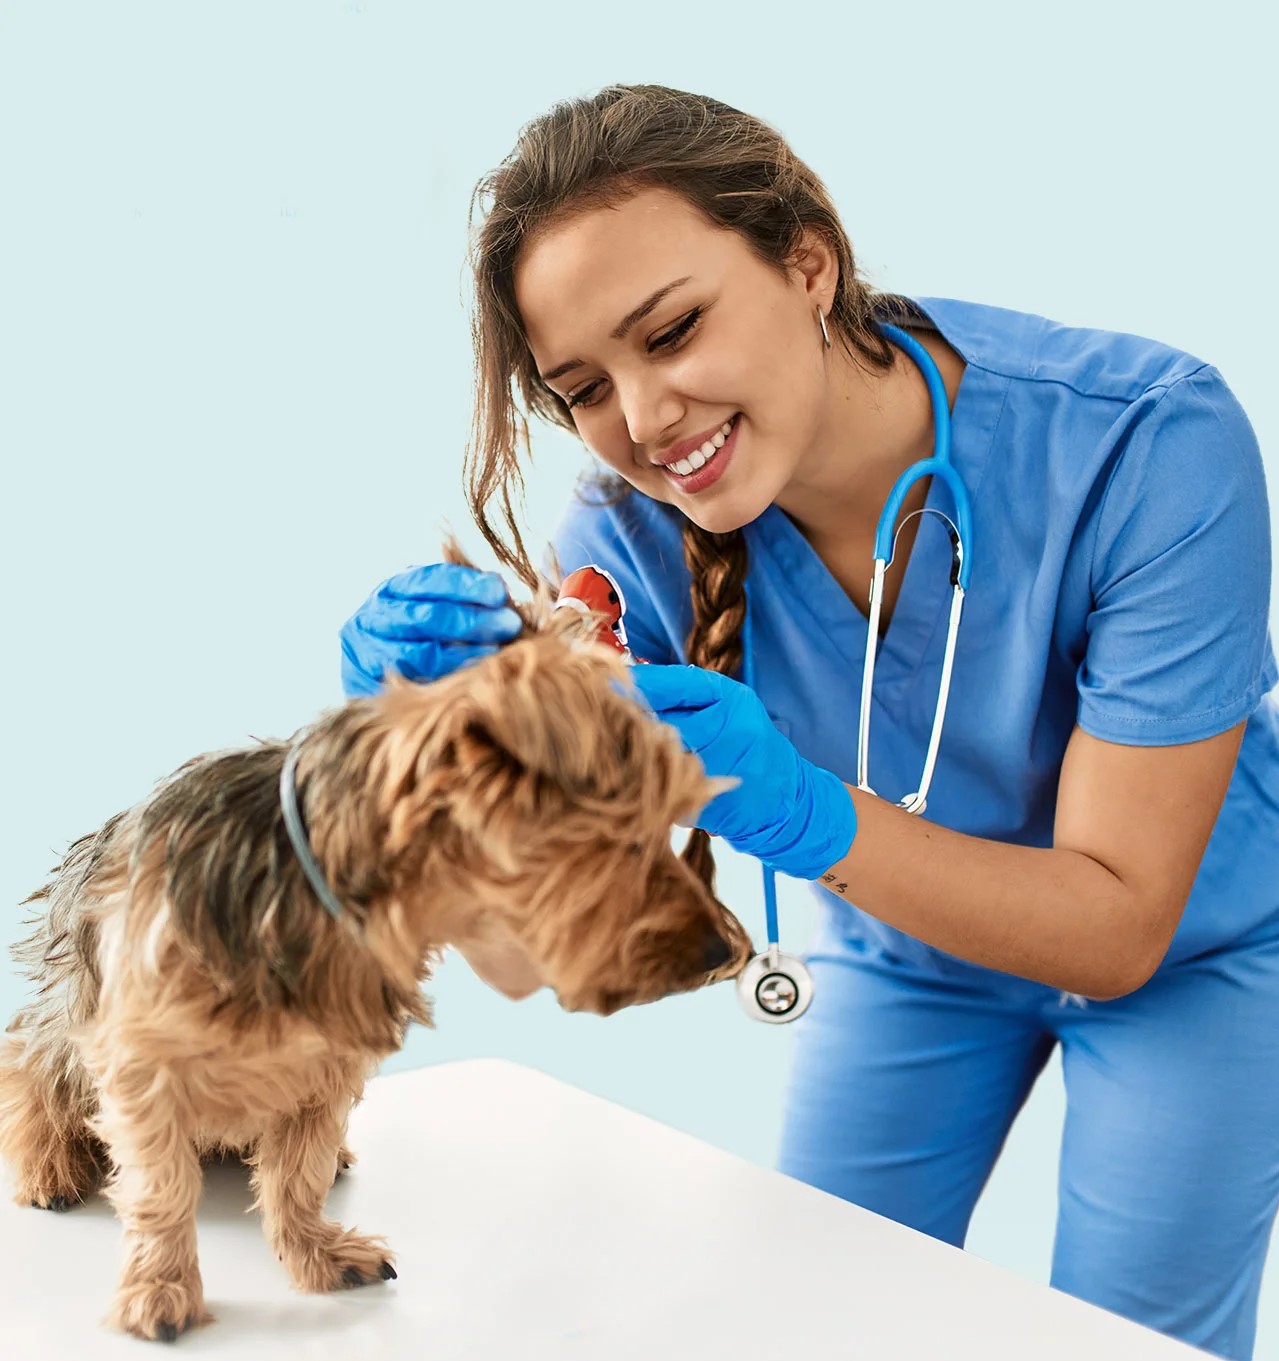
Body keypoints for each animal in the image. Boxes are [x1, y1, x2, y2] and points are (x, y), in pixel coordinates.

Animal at [0, 571, 756, 1339]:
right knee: (29, 1062)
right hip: (66, 1016)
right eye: (627, 838)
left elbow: (295, 1174)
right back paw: (47, 1162)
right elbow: (161, 1186)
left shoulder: (328, 1065)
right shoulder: (143, 1059)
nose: (725, 951)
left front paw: (315, 1252)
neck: (322, 898)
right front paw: (160, 1287)